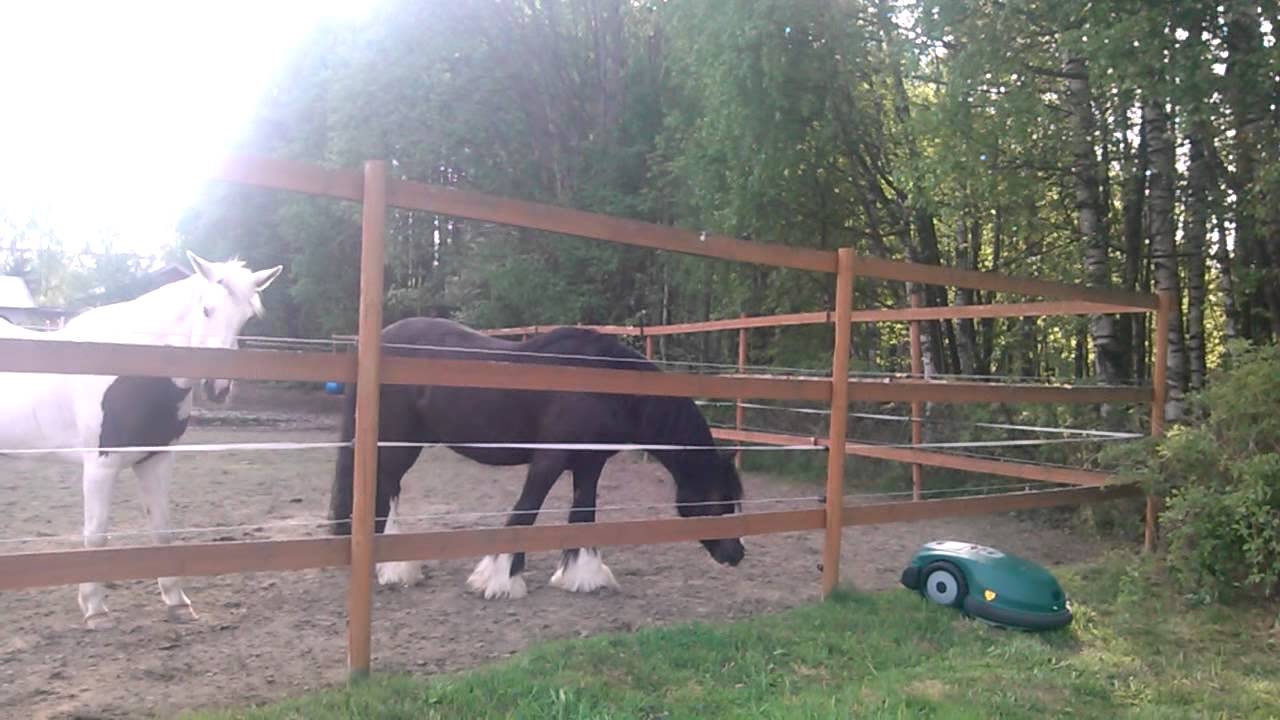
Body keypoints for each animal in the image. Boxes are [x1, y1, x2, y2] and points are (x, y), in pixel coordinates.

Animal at [0, 252, 282, 629]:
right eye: (206, 309)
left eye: (247, 318)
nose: (218, 388)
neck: (135, 369)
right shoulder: (100, 466)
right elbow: (96, 536)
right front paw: (95, 610)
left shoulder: (155, 459)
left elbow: (162, 530)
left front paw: (177, 602)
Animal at [328, 317, 746, 600]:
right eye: (718, 498)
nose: (737, 553)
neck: (606, 385)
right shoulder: (549, 460)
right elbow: (525, 512)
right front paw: (498, 580)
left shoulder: (589, 465)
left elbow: (583, 516)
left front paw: (582, 577)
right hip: (398, 445)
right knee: (386, 492)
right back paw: (396, 570)